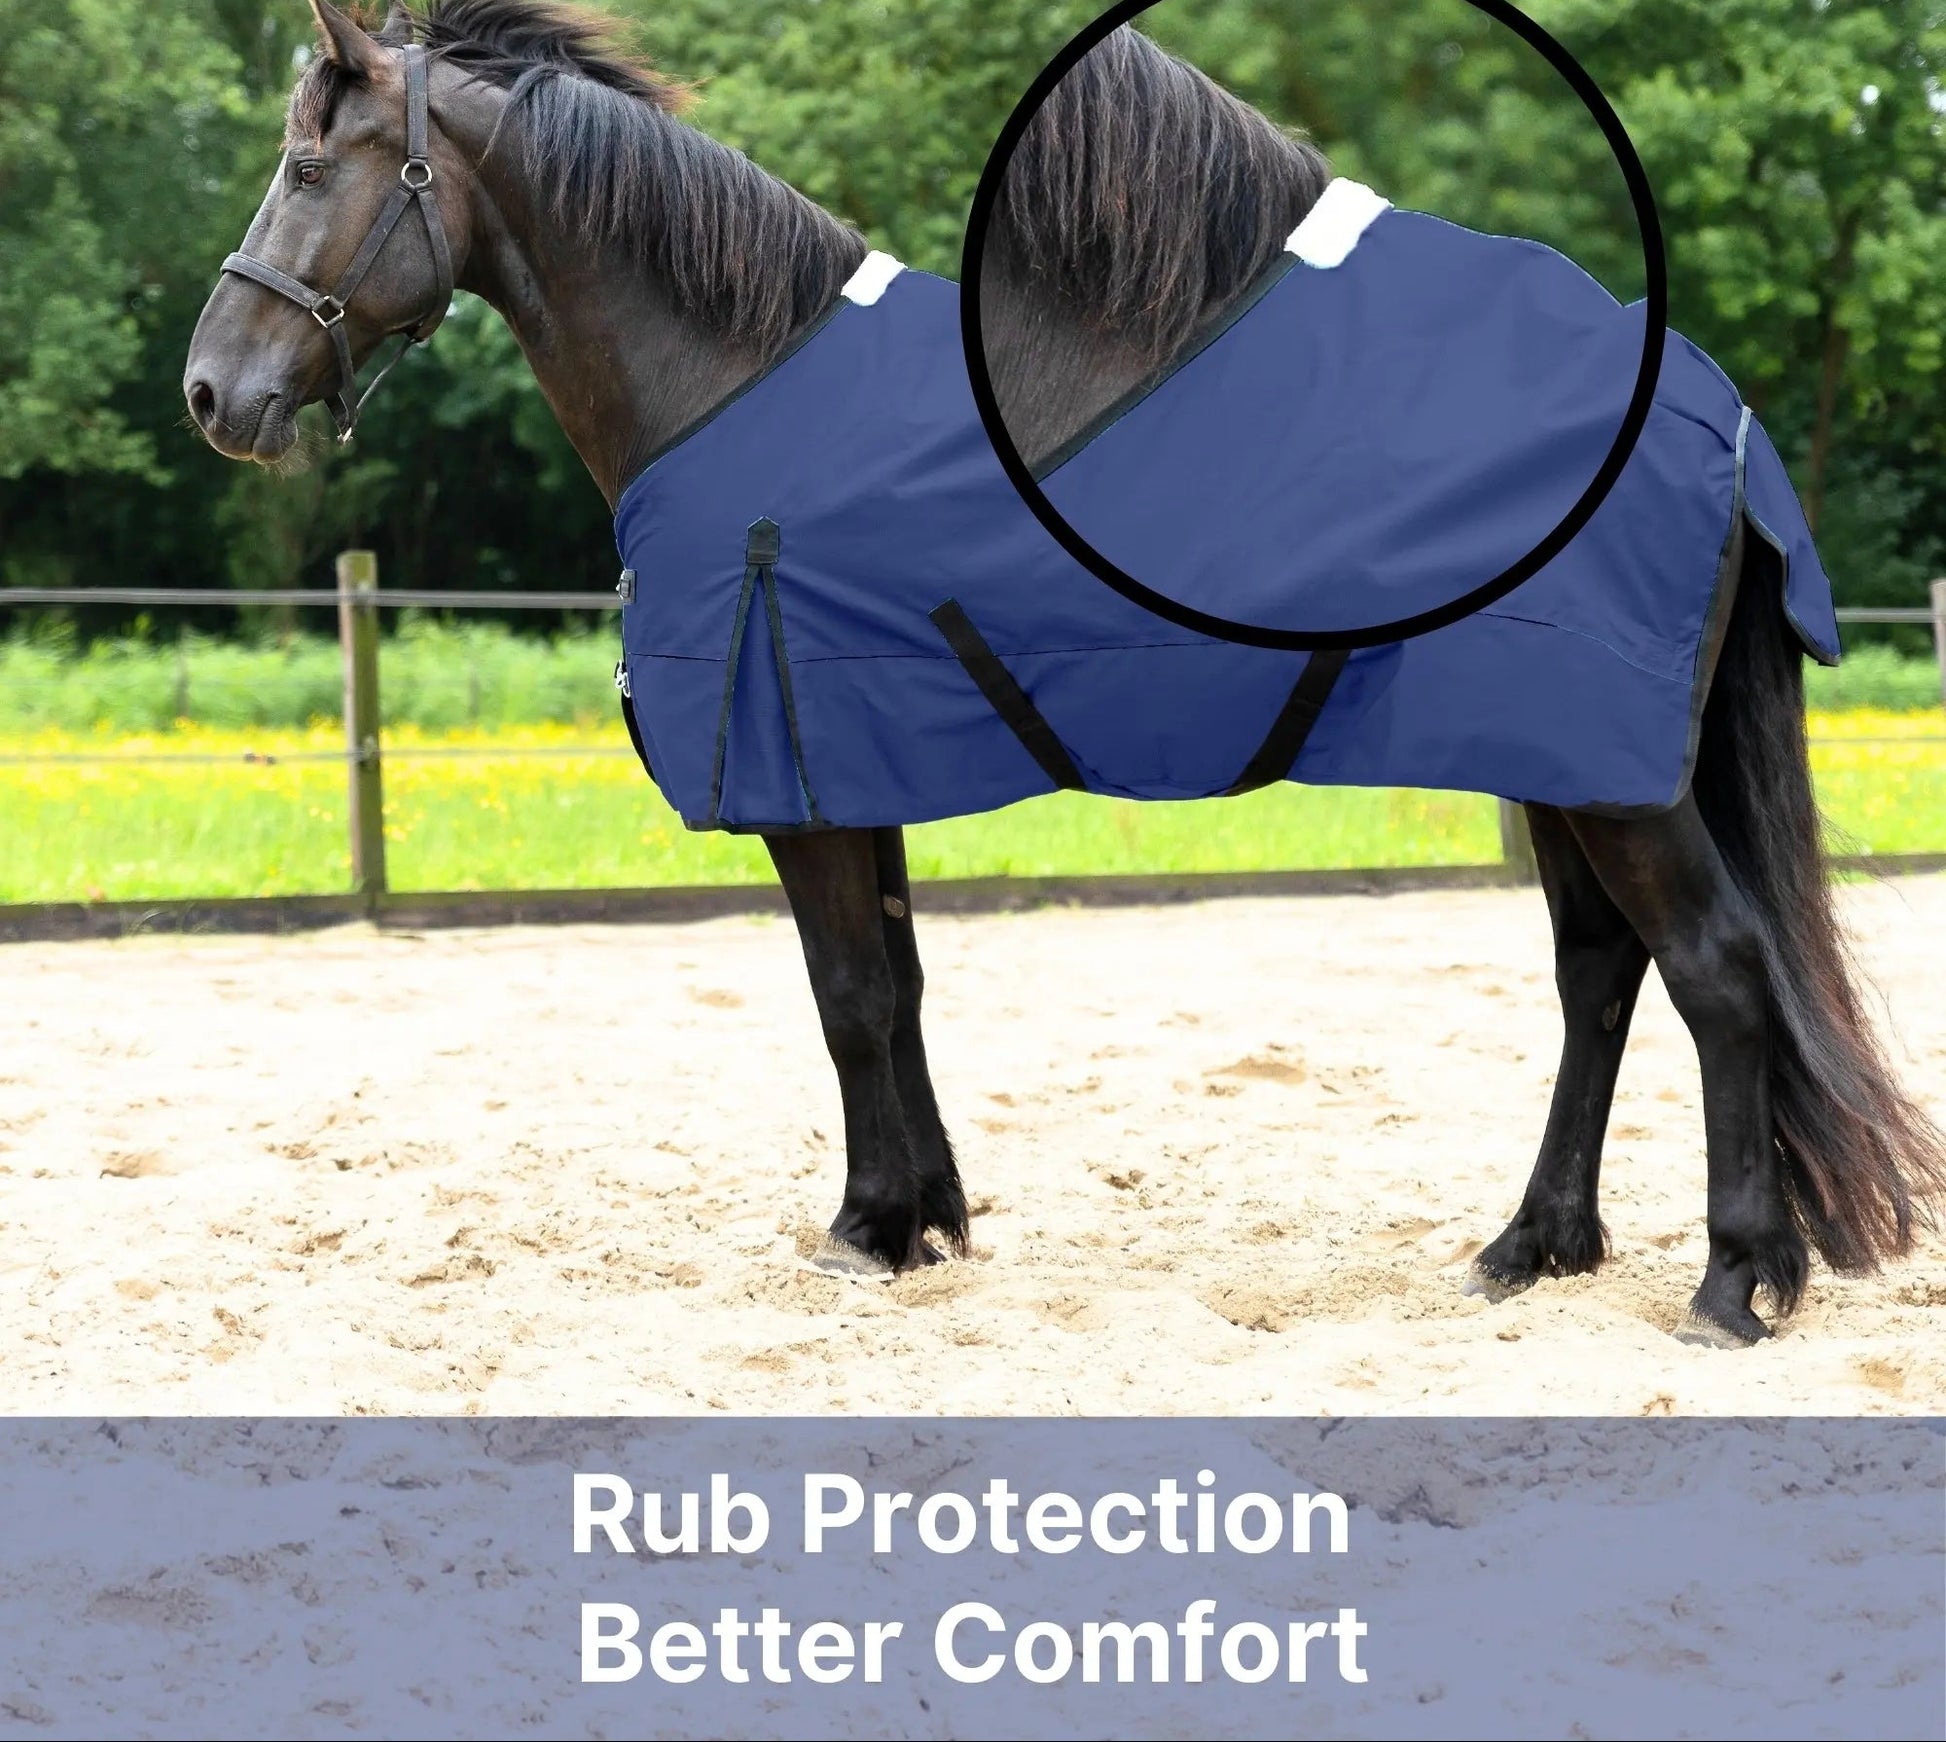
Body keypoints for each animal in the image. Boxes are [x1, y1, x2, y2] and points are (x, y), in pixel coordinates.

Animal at [182, 3, 1943, 1348]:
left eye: (305, 166)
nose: (213, 391)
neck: (734, 381)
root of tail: (1709, 409)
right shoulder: (857, 760)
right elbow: (893, 988)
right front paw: (927, 1219)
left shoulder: (804, 777)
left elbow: (844, 997)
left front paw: (864, 1228)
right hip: (1565, 762)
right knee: (1600, 975)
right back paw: (1530, 1248)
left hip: (1608, 772)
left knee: (1716, 971)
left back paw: (1734, 1281)